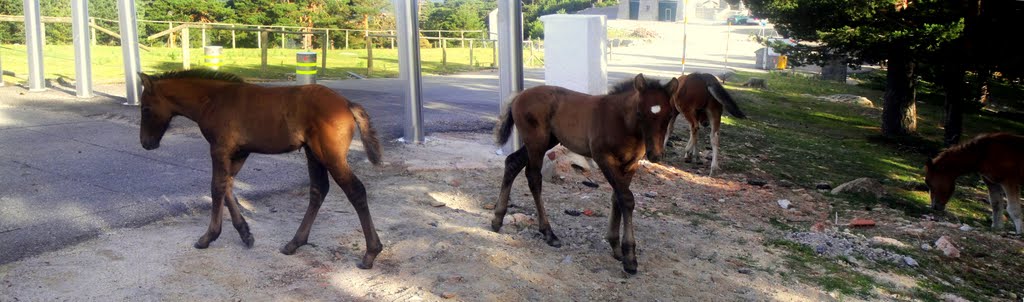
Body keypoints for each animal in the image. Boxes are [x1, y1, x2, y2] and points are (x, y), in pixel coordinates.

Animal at [140, 69, 385, 270]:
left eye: (145, 108)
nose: (145, 143)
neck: (213, 100)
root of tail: (347, 103)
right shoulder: (240, 152)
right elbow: (228, 185)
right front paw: (245, 233)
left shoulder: (220, 149)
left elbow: (216, 187)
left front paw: (208, 237)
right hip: (313, 153)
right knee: (318, 189)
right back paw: (295, 243)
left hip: (330, 155)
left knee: (355, 190)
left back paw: (370, 253)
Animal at [489, 73, 675, 274]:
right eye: (640, 113)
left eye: (669, 116)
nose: (655, 155)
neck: (622, 122)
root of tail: (519, 95)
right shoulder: (603, 158)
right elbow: (626, 199)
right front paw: (630, 258)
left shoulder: (630, 164)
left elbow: (617, 197)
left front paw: (616, 247)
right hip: (536, 141)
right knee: (533, 177)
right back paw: (548, 232)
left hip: (547, 140)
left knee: (512, 163)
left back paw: (498, 219)